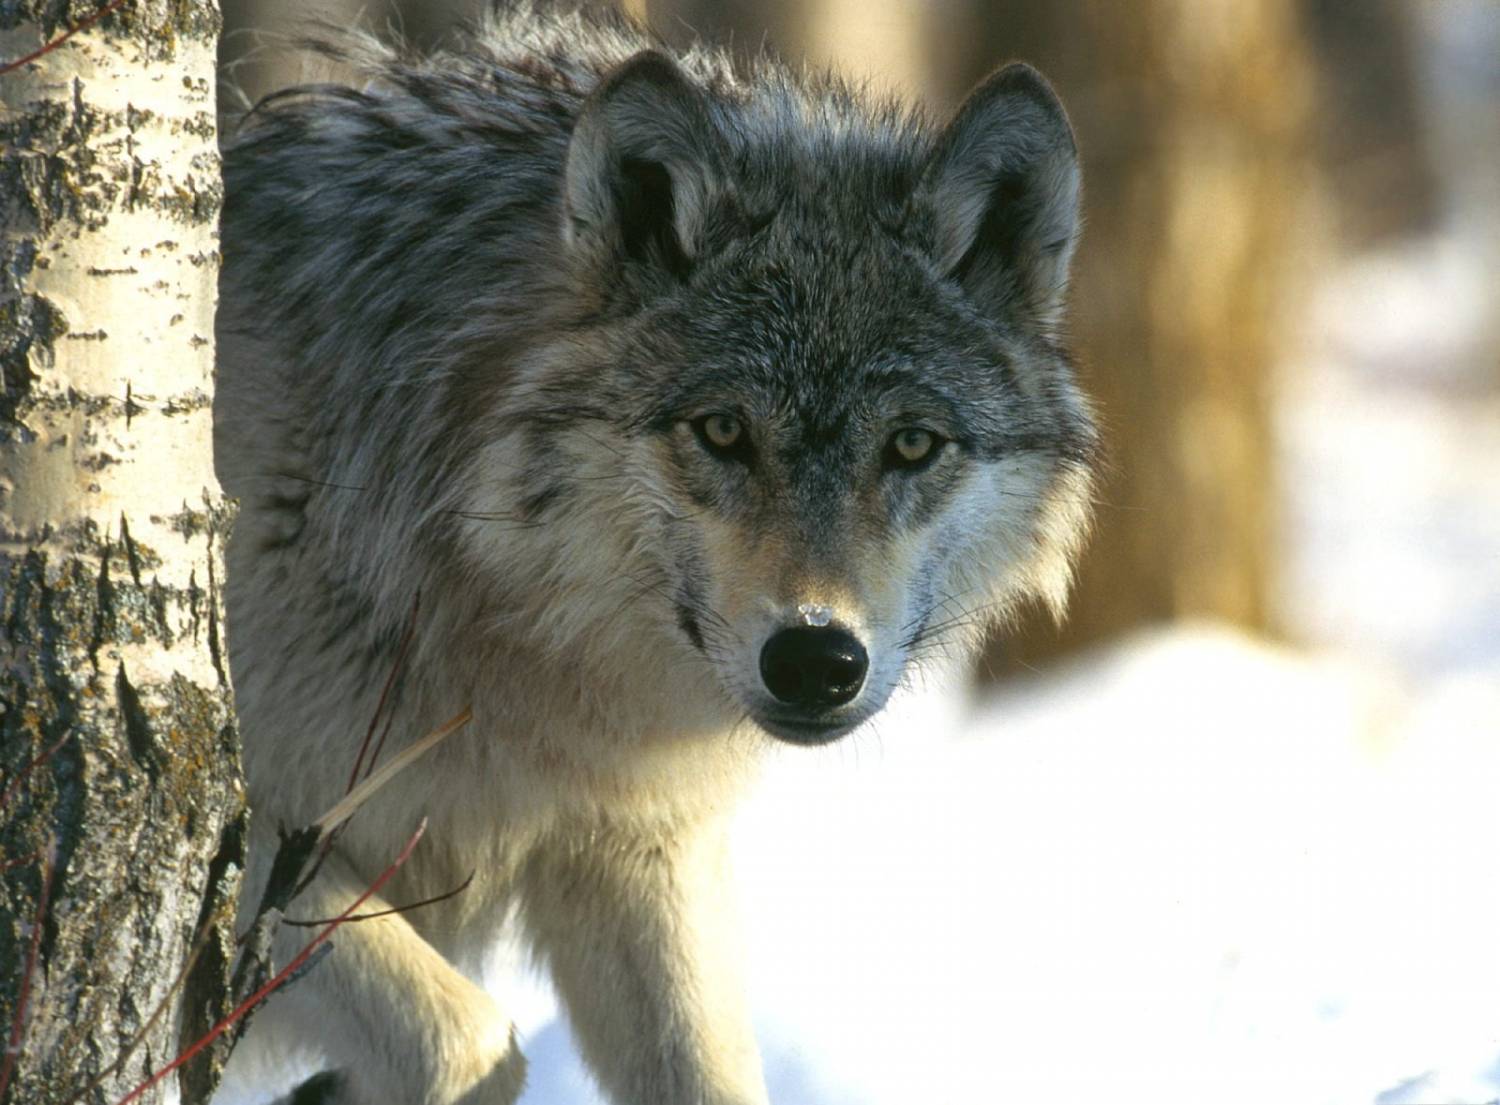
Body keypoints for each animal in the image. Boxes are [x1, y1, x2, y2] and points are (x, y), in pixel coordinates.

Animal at [211, 4, 1098, 1097]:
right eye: (722, 430)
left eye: (911, 444)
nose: (816, 657)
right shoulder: (251, 832)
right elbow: (469, 1042)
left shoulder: (640, 852)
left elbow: (709, 1073)